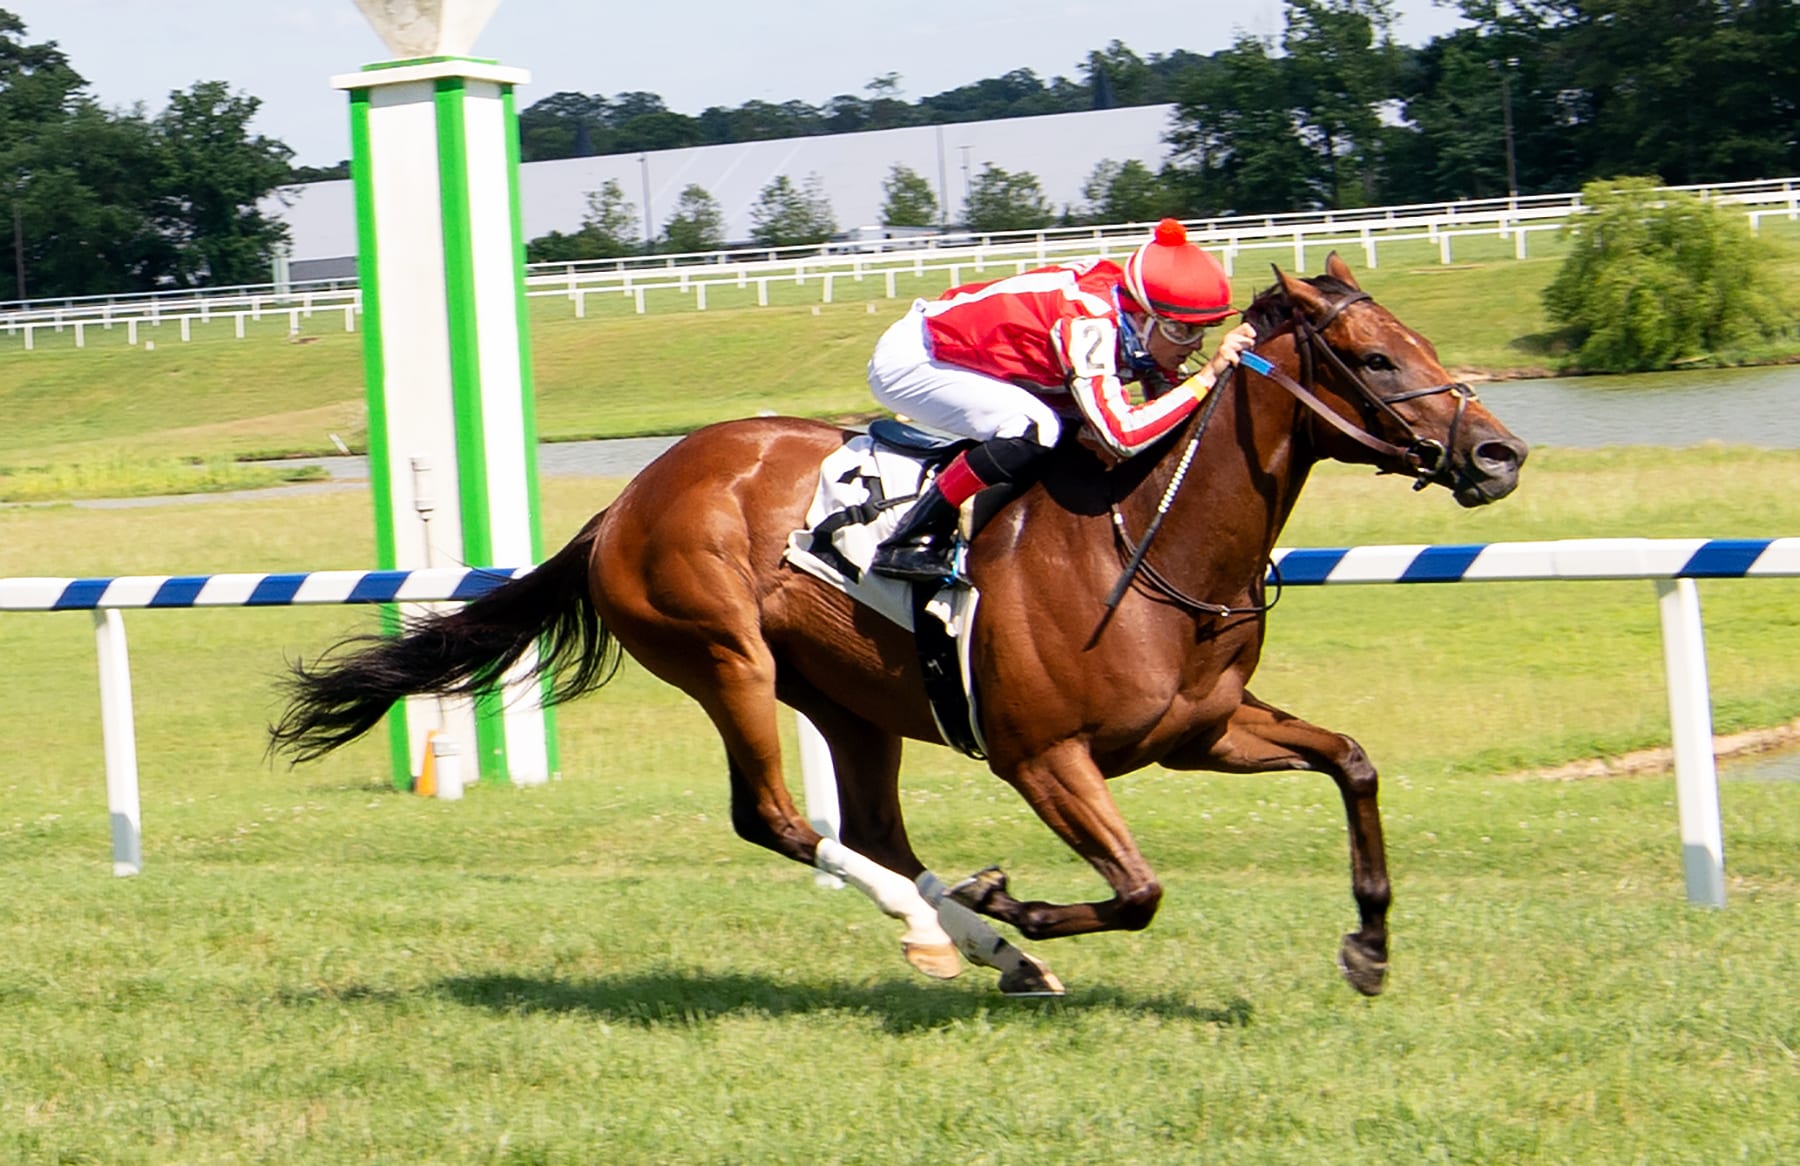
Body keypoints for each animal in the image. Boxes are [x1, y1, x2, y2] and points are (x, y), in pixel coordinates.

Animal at [273, 259, 1526, 1000]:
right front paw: (1016, 902)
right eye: (1377, 358)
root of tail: (622, 502)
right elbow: (1137, 889)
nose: (1500, 452)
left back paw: (967, 936)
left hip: (850, 696)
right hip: (724, 654)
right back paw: (955, 927)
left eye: (1417, 340)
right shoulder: (1043, 755)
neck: (1146, 534)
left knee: (873, 825)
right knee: (778, 818)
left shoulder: (1201, 729)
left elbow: (1352, 761)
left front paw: (1369, 944)